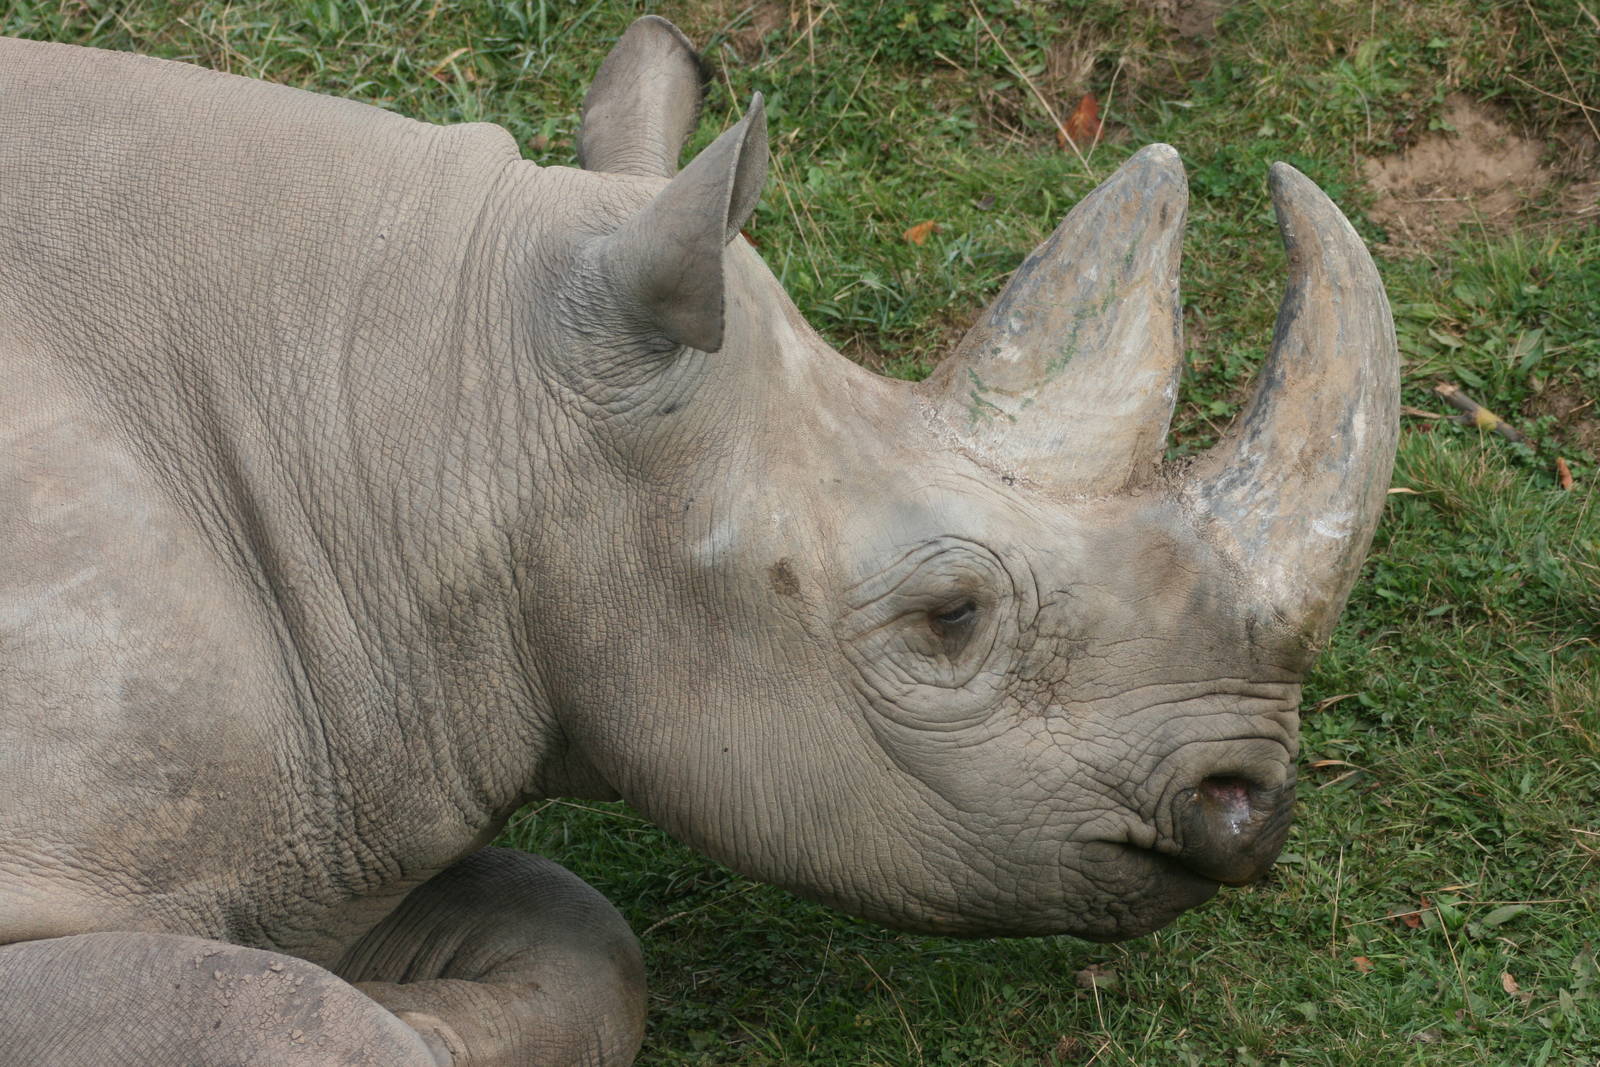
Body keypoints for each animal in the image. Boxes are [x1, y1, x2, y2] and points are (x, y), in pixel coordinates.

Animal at [0, 14, 1398, 1066]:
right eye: (949, 617)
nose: (1248, 801)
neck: (437, 393)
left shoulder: (342, 795)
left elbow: (574, 938)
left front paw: (413, 1001)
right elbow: (295, 1009)